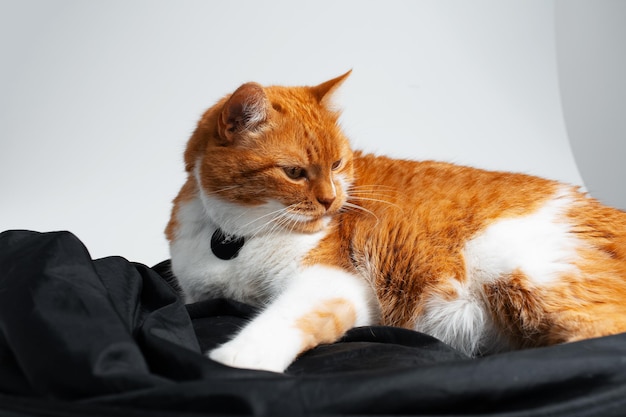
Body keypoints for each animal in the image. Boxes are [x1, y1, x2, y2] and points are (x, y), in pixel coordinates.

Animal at [165, 70, 624, 372]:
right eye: (295, 173)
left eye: (337, 164)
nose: (331, 201)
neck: (237, 236)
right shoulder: (196, 292)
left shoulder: (334, 283)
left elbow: (284, 317)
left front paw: (238, 358)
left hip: (528, 271)